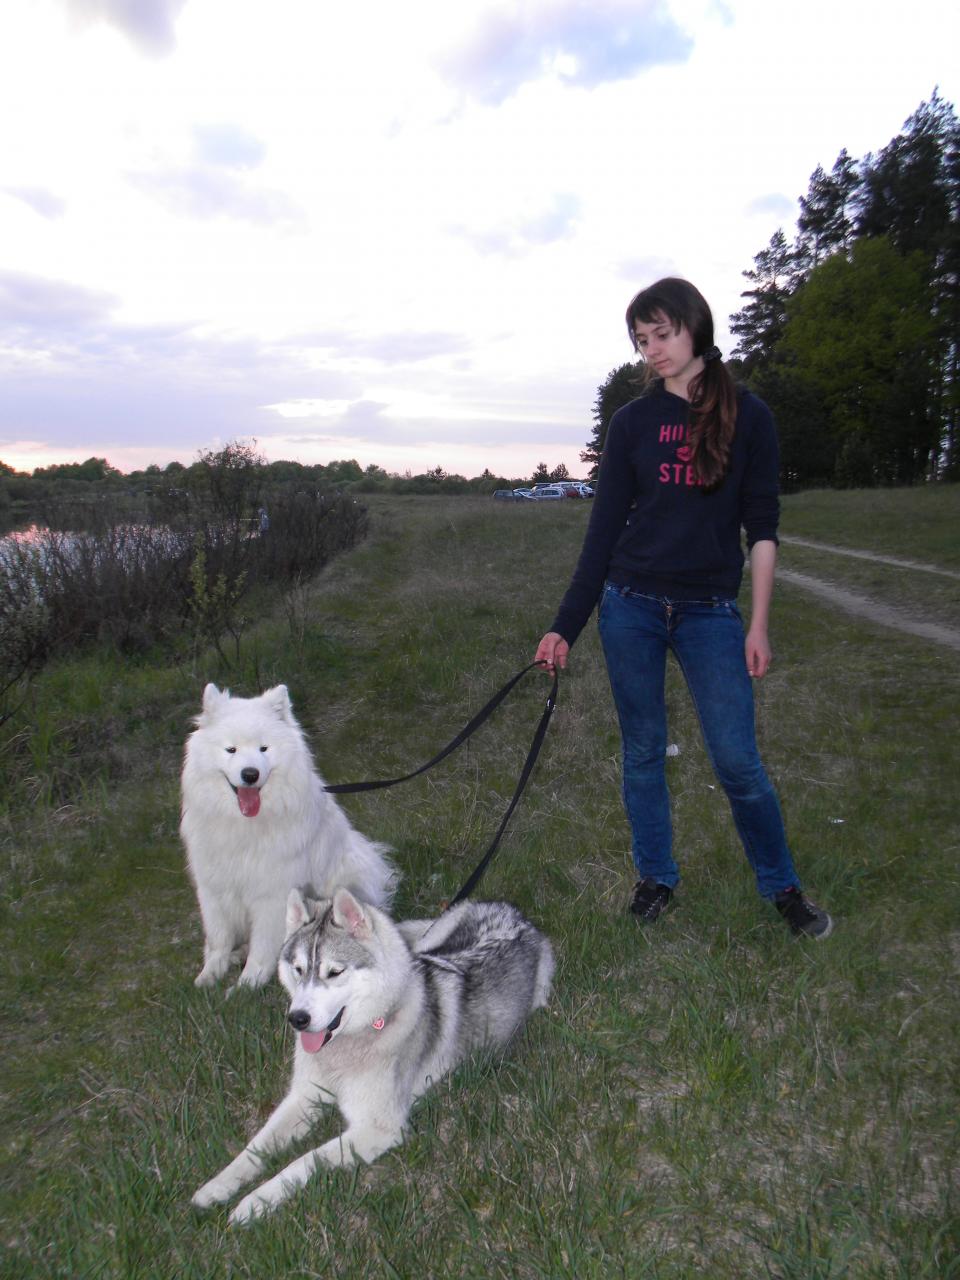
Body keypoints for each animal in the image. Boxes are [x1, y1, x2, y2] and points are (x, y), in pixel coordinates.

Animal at [181, 684, 396, 989]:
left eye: (264, 748)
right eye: (231, 749)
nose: (250, 774)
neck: (245, 826)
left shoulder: (272, 894)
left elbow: (262, 945)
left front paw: (249, 982)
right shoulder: (214, 888)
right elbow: (218, 936)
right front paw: (210, 974)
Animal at [192, 887, 554, 1223]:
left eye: (334, 972)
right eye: (297, 969)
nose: (297, 1019)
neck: (349, 1044)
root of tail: (511, 911)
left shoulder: (380, 1129)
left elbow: (304, 1160)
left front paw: (256, 1202)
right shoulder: (303, 1097)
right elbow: (255, 1147)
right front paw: (218, 1186)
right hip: (431, 938)